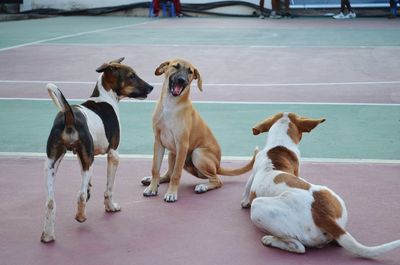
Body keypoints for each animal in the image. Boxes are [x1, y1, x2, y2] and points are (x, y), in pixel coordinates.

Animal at [40, 57, 153, 241]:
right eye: (132, 76)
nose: (151, 87)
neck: (105, 97)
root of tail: (69, 116)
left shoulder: (82, 156)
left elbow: (89, 183)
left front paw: (91, 189)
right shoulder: (113, 154)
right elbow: (108, 188)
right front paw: (110, 207)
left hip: (51, 164)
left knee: (50, 202)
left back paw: (48, 235)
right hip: (87, 161)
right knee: (80, 195)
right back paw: (80, 216)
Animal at [142, 58, 258, 201]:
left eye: (190, 72)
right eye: (175, 66)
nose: (182, 80)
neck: (171, 105)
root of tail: (218, 165)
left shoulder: (182, 144)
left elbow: (176, 174)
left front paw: (171, 193)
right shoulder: (158, 142)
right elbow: (155, 169)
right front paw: (152, 188)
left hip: (198, 154)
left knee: (217, 180)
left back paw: (203, 186)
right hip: (172, 153)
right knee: (168, 175)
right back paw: (153, 180)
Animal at [241, 112, 400, 258]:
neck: (279, 147)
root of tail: (323, 215)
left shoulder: (252, 176)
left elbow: (247, 190)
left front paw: (245, 201)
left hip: (258, 206)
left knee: (298, 247)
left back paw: (270, 240)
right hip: (332, 196)